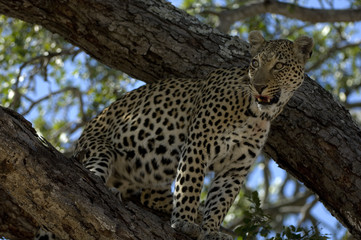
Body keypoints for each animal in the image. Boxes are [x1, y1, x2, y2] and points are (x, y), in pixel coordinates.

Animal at [33, 30, 310, 240]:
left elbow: (220, 201)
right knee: (89, 173)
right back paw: (110, 189)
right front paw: (185, 222)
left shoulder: (236, 167)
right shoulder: (199, 143)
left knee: (149, 194)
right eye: (255, 64)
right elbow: (190, 184)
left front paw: (211, 230)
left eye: (279, 66)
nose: (259, 86)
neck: (256, 114)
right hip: (100, 149)